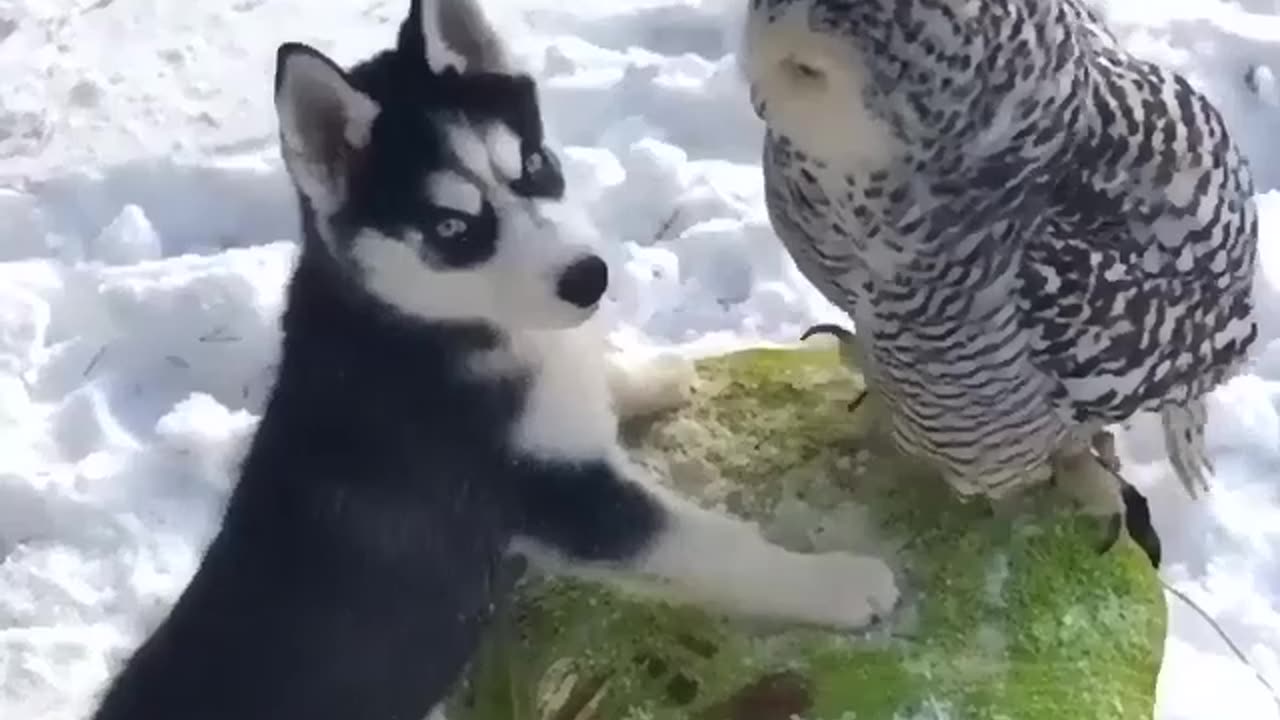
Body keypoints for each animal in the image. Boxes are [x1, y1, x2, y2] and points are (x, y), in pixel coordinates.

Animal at [87, 1, 901, 717]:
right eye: (453, 227)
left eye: (534, 164)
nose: (590, 277)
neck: (442, 323)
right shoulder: (558, 494)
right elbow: (718, 547)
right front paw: (837, 584)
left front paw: (649, 377)